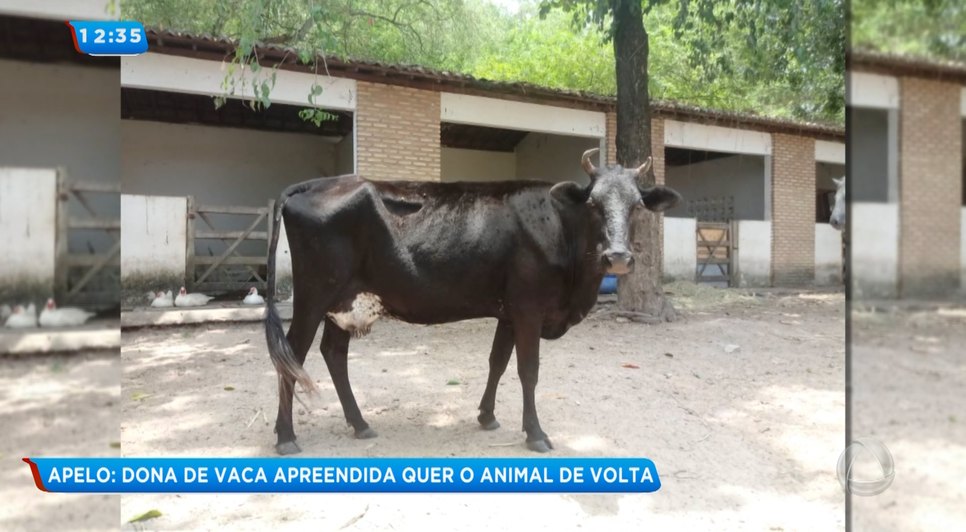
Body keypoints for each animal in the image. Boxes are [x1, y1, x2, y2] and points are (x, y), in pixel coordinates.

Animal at [264, 148, 681, 455]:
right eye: (593, 203)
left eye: (637, 205)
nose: (618, 257)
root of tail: (314, 184)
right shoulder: (529, 308)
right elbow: (528, 370)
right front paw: (535, 433)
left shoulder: (508, 312)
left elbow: (497, 362)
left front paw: (487, 416)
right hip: (313, 295)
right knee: (292, 355)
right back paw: (286, 437)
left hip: (345, 302)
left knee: (333, 353)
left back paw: (360, 424)